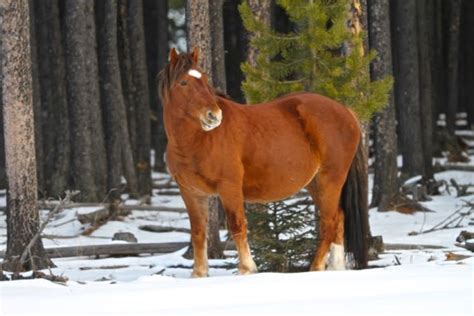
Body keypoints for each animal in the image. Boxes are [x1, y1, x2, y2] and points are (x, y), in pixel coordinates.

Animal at [159, 48, 370, 278]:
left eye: (205, 80)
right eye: (183, 82)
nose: (214, 115)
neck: (198, 140)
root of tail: (346, 111)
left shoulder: (229, 187)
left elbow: (237, 225)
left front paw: (246, 269)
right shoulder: (191, 192)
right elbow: (198, 231)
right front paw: (198, 274)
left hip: (330, 180)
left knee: (329, 222)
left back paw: (315, 268)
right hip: (316, 184)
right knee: (339, 219)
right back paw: (335, 268)